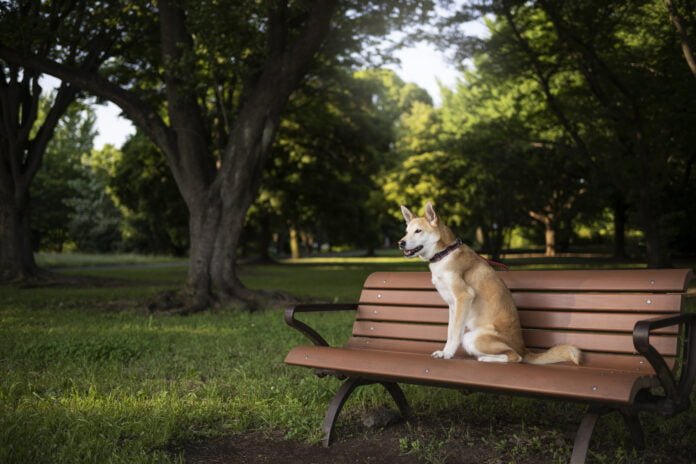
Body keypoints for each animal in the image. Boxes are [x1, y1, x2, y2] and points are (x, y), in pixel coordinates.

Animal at [396, 203, 580, 366]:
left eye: (418, 231)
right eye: (406, 232)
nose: (400, 243)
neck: (444, 253)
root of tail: (525, 349)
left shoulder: (463, 297)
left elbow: (455, 334)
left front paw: (447, 353)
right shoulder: (453, 306)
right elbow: (450, 330)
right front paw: (445, 350)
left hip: (472, 337)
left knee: (515, 357)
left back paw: (486, 359)